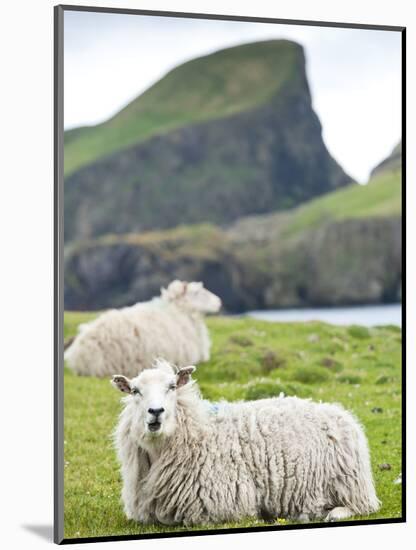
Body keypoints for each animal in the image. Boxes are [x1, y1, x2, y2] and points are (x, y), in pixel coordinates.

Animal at [110, 360, 380, 528]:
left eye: (172, 386)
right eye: (135, 391)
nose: (156, 412)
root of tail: (341, 412)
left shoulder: (222, 506)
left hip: (349, 484)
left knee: (361, 507)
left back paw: (330, 514)